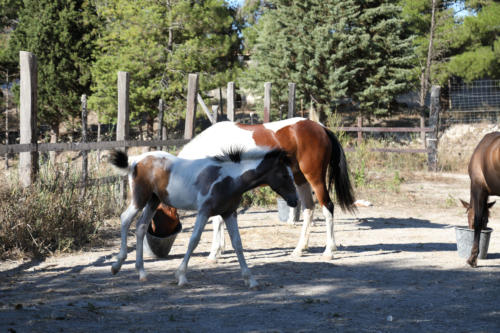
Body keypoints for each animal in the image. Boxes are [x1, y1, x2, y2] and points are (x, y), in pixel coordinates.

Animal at [109, 147, 296, 286]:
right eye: (285, 175)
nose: (294, 200)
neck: (229, 178)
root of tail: (136, 160)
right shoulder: (204, 211)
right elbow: (194, 240)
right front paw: (181, 276)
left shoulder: (229, 213)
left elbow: (237, 243)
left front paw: (250, 280)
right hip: (140, 198)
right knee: (125, 219)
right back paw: (117, 265)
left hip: (154, 201)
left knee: (141, 227)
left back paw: (141, 272)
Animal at [178, 116, 358, 260]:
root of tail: (321, 128)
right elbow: (220, 218)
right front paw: (220, 249)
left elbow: (216, 220)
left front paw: (214, 253)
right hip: (301, 179)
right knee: (308, 209)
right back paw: (299, 249)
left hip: (315, 178)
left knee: (328, 207)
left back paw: (329, 251)